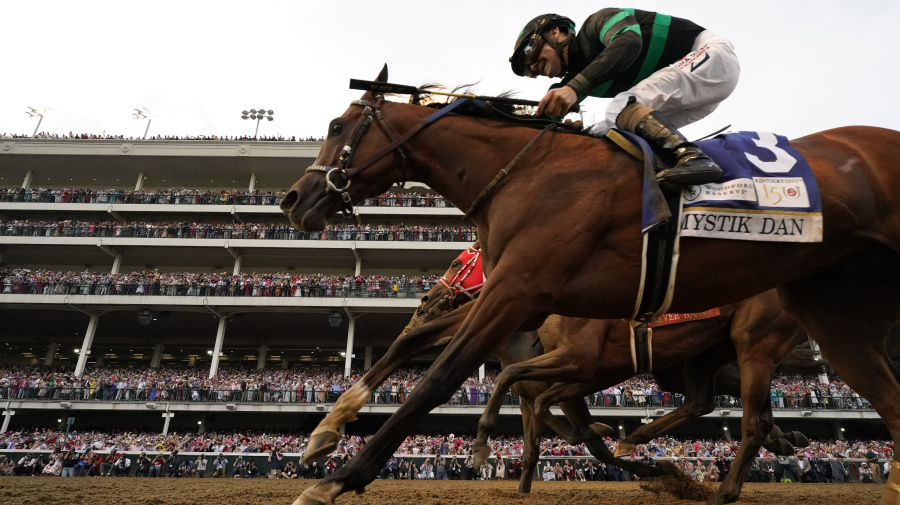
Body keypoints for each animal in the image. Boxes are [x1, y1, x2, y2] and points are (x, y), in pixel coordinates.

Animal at [282, 66, 900, 504]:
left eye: (337, 127)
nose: (293, 199)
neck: (527, 172)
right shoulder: (523, 303)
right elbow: (423, 347)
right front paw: (329, 428)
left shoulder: (521, 295)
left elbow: (442, 379)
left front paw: (337, 479)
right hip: (808, 323)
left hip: (757, 341)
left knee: (752, 414)